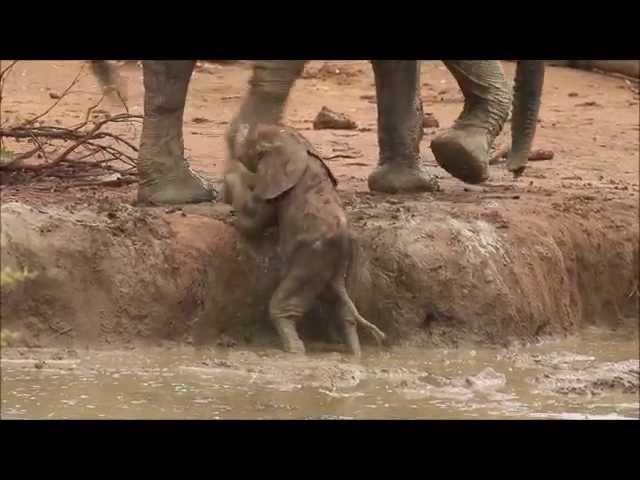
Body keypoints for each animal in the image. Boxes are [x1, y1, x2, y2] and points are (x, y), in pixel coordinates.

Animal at [225, 124, 384, 356]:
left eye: (253, 142)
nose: (238, 128)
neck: (297, 143)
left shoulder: (272, 182)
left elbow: (254, 219)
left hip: (312, 258)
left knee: (286, 302)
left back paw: (294, 350)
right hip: (350, 264)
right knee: (342, 305)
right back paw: (354, 354)